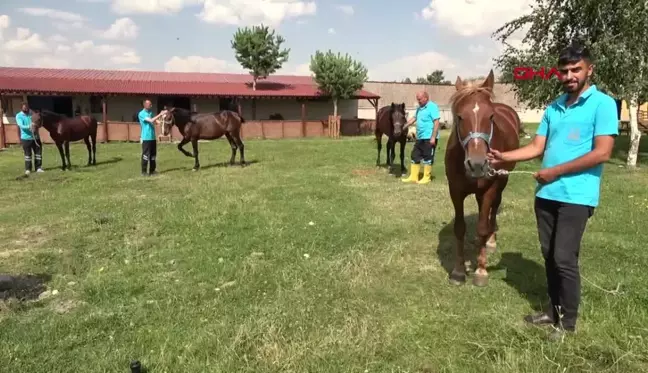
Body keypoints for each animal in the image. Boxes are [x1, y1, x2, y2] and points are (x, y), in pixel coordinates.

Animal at [446, 70, 520, 284]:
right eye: (460, 117)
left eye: (491, 116)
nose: (477, 164)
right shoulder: (455, 191)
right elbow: (459, 228)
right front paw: (458, 271)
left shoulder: (489, 189)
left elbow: (481, 227)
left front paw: (480, 270)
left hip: (502, 181)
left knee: (492, 211)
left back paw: (490, 242)